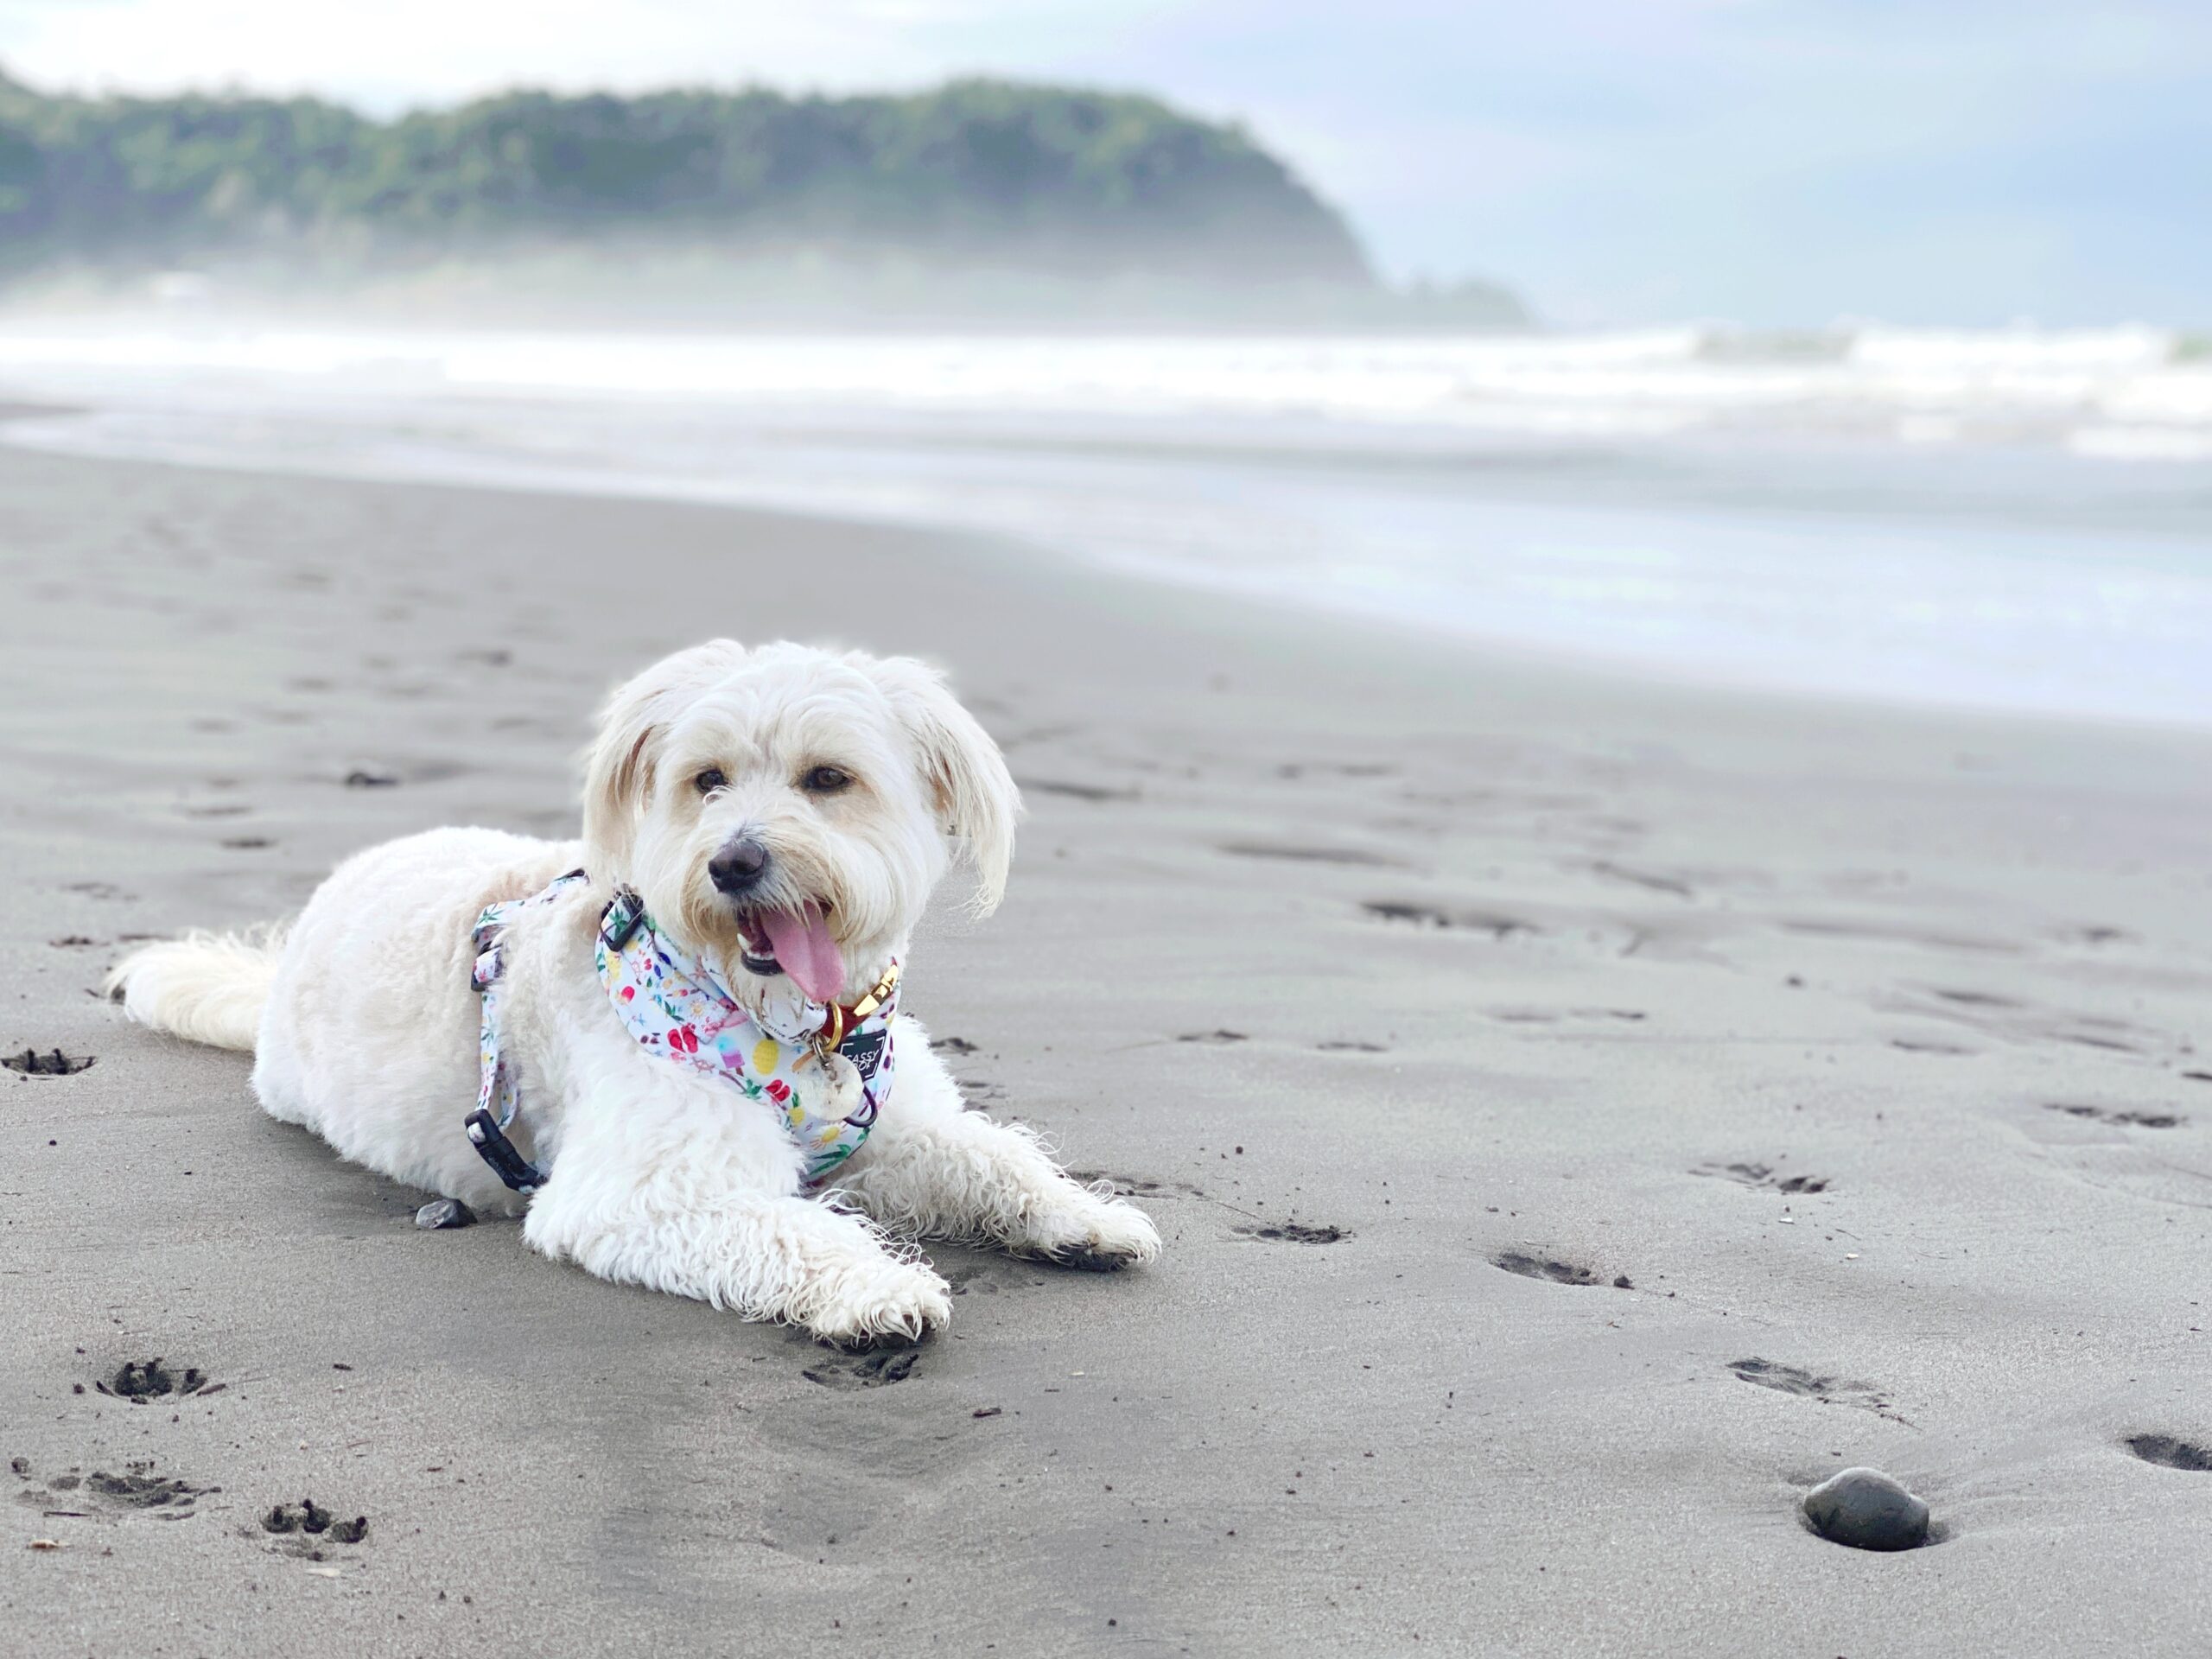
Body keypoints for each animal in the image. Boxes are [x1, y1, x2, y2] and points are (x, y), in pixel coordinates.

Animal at [107, 641, 1159, 1344]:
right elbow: (788, 1228)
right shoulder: (639, 1194)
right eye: (706, 779)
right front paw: (874, 1288)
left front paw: (1084, 1217)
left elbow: (990, 1156)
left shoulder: (896, 1127)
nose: (734, 863)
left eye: (828, 778)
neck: (795, 1029)